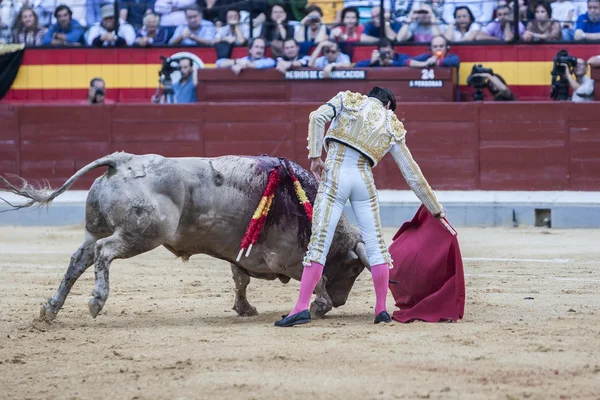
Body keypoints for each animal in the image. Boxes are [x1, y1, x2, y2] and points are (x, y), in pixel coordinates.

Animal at [1, 152, 370, 324]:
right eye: (355, 269)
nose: (341, 302)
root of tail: (122, 160)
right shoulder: (288, 258)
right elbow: (315, 276)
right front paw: (320, 305)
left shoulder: (241, 254)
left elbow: (240, 280)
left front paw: (245, 308)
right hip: (142, 235)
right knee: (104, 253)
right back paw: (96, 300)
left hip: (96, 229)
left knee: (79, 259)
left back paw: (50, 309)